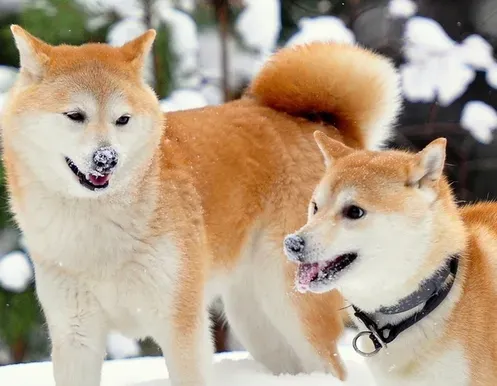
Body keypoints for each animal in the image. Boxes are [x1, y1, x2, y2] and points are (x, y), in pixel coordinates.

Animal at [0, 24, 400, 386]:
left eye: (122, 119)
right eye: (75, 115)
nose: (106, 159)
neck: (97, 228)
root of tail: (327, 129)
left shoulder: (181, 326)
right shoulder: (75, 334)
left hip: (294, 309)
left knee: (333, 369)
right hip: (257, 323)